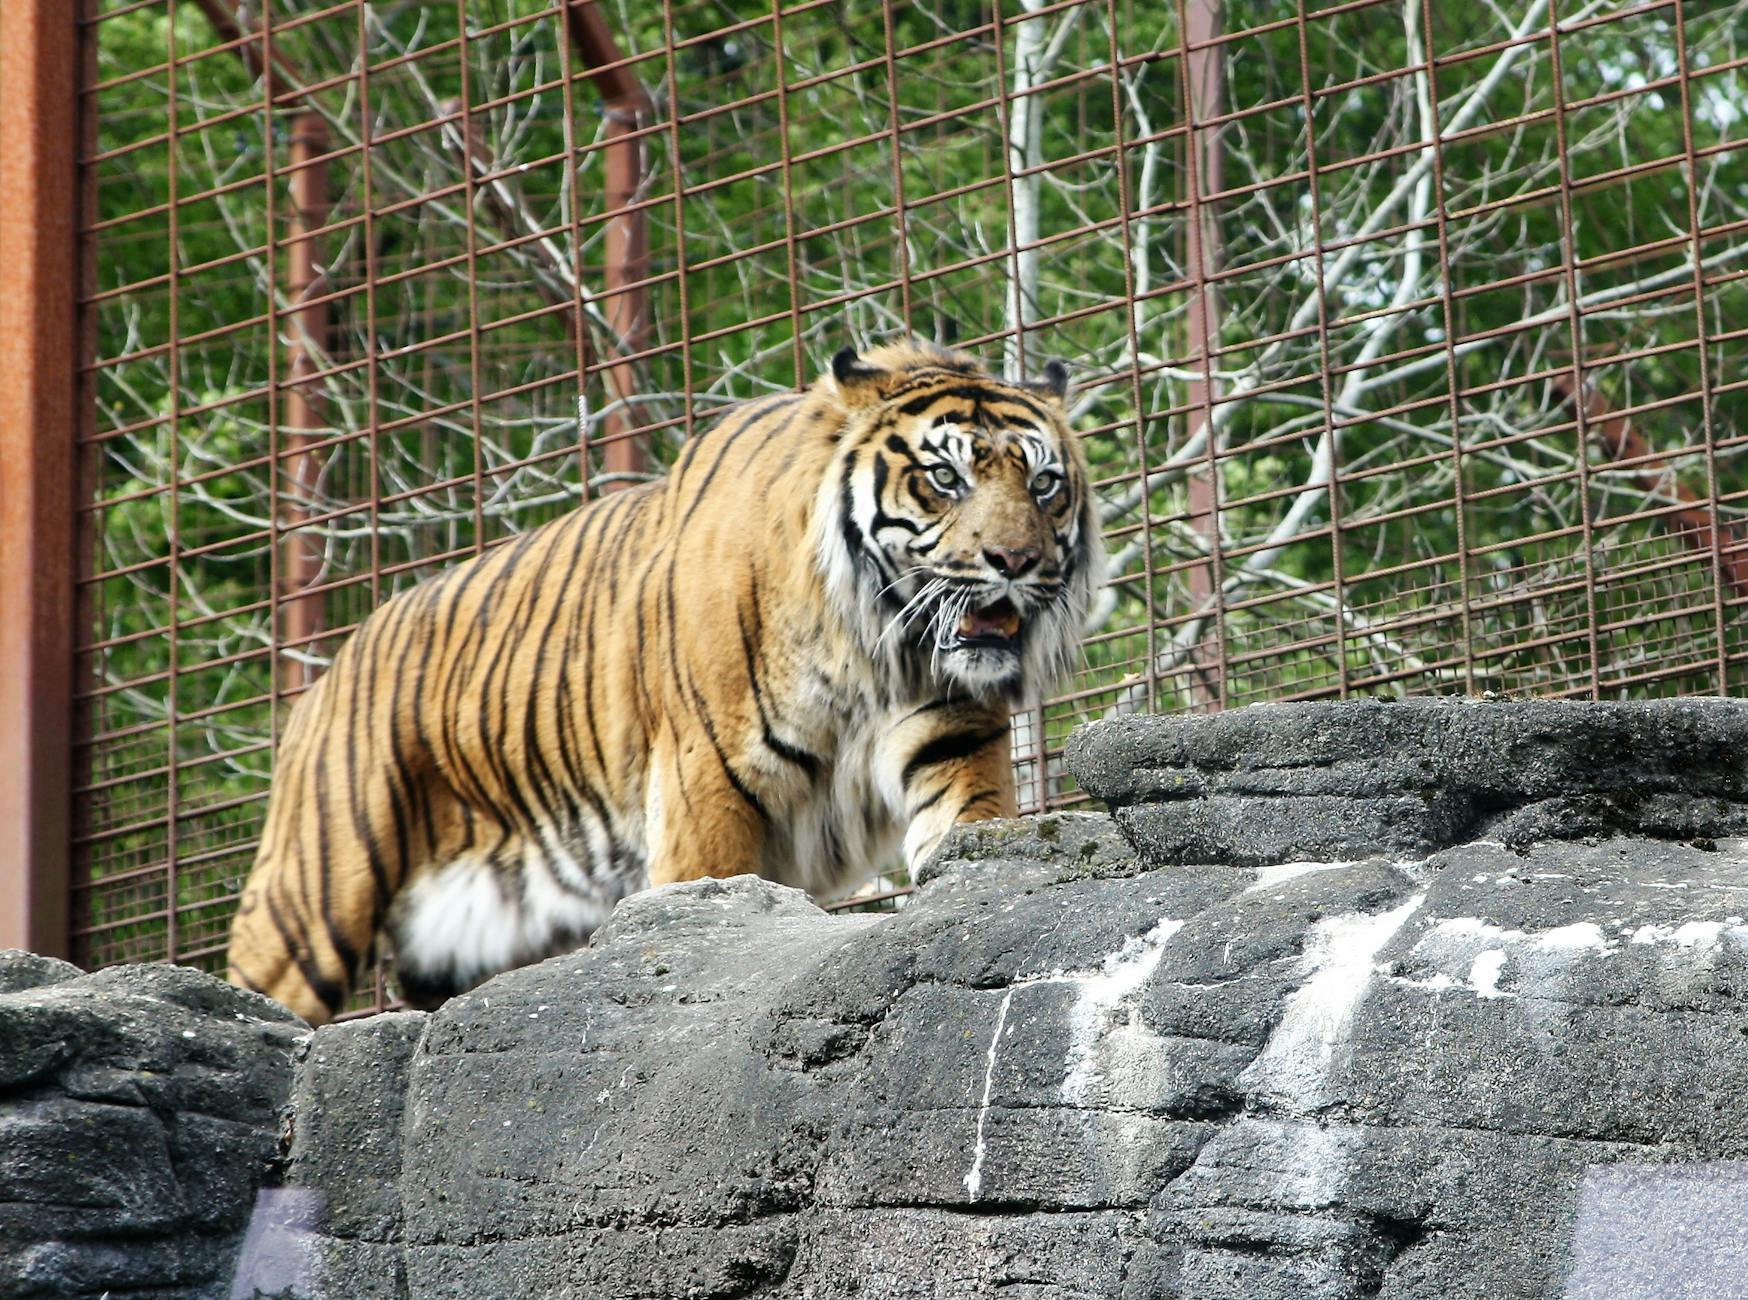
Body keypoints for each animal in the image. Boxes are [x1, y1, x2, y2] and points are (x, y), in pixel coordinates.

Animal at [226, 341, 1103, 1026]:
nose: (1017, 562)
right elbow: (705, 898)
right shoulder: (707, 777)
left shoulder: (951, 736)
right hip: (314, 894)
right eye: (945, 479)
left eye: (1044, 485)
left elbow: (970, 835)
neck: (876, 644)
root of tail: (335, 665)